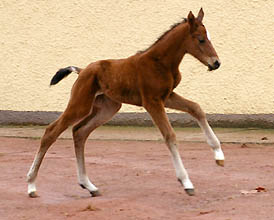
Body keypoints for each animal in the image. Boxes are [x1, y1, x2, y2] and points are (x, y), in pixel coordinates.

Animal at [27, 8, 225, 198]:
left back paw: (89, 185)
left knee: (79, 132)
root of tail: (82, 70)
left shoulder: (167, 96)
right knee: (51, 132)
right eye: (201, 39)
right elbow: (170, 135)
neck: (160, 62)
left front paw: (219, 155)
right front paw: (186, 182)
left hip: (108, 107)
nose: (216, 63)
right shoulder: (151, 101)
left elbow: (196, 108)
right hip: (80, 104)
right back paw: (31, 185)